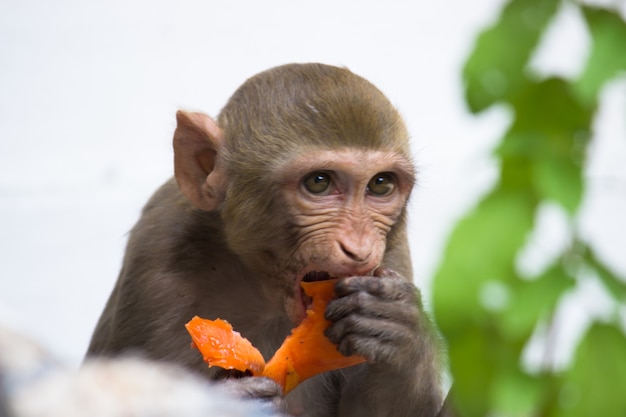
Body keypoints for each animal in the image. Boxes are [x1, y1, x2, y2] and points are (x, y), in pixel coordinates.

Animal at [86, 62, 444, 416]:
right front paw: (235, 398)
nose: (359, 248)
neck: (263, 287)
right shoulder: (155, 261)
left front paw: (398, 332)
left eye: (381, 184)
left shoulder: (392, 258)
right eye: (318, 182)